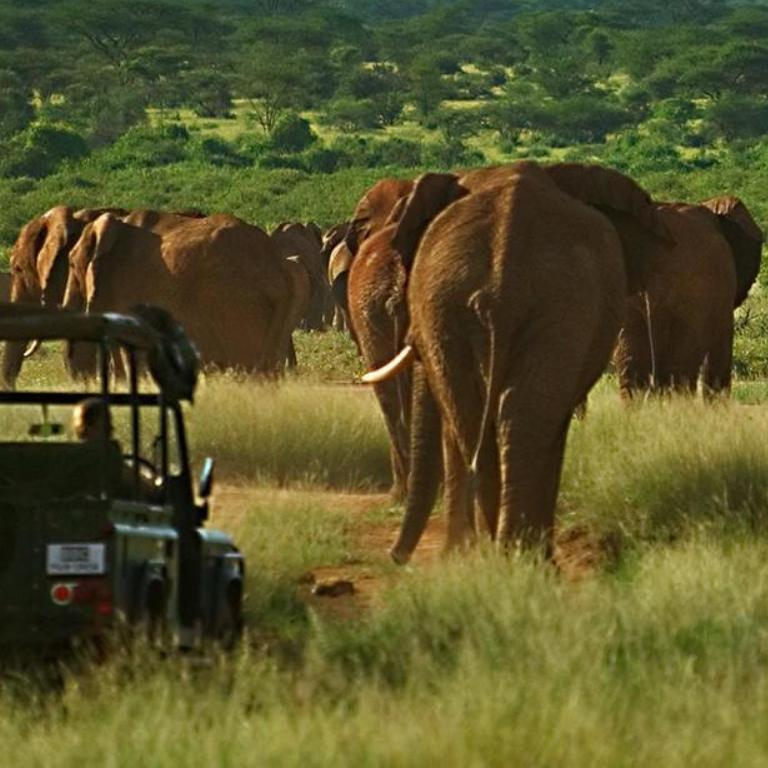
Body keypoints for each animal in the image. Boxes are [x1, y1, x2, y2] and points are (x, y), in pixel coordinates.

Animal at [362, 162, 671, 562]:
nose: (394, 557)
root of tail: (502, 283)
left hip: (532, 307)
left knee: (494, 422)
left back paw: (508, 555)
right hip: (472, 304)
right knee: (501, 421)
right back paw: (511, 555)